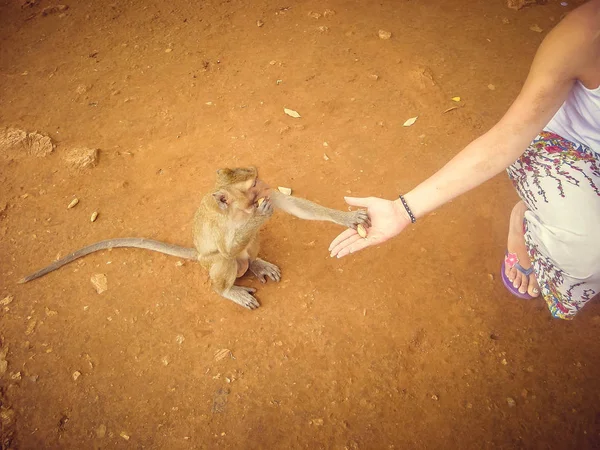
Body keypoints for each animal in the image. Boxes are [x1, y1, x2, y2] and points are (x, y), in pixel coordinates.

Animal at [19, 167, 370, 312]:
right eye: (253, 184)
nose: (267, 185)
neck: (240, 209)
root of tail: (197, 255)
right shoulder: (224, 222)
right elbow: (227, 247)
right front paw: (261, 216)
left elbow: (296, 207)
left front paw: (348, 219)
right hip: (207, 262)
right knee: (226, 260)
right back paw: (228, 290)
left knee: (249, 249)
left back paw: (256, 263)